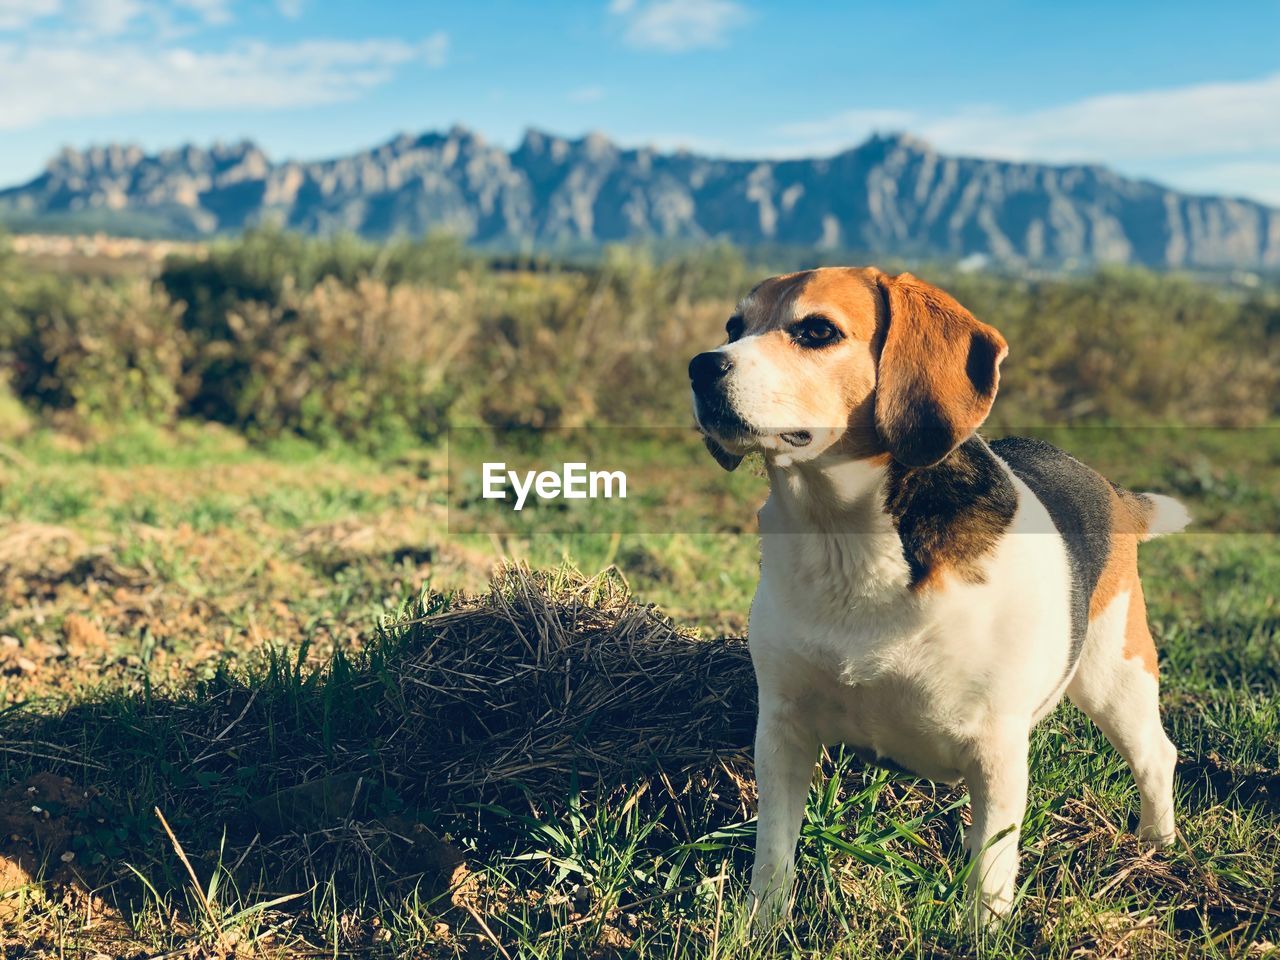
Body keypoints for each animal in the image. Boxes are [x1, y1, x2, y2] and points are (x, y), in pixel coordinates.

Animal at [691, 267, 1187, 926]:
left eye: (817, 331)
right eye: (734, 327)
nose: (699, 366)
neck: (844, 542)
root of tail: (1110, 488)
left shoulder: (997, 751)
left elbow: (991, 872)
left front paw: (981, 933)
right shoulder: (782, 728)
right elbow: (773, 854)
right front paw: (760, 928)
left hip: (1116, 676)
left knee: (1156, 755)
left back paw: (1156, 850)